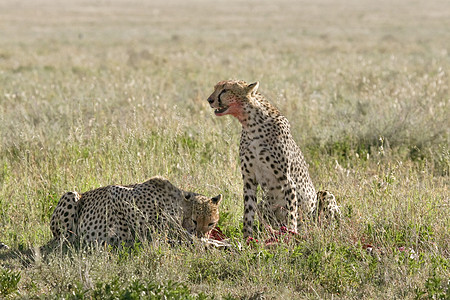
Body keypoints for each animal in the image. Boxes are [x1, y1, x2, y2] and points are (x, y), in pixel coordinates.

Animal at [50, 176, 222, 246]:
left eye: (211, 223)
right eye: (195, 220)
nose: (201, 234)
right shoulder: (116, 192)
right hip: (71, 196)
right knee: (64, 239)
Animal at [206, 79, 340, 237]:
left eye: (225, 90)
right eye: (215, 88)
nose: (209, 100)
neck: (250, 123)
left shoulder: (287, 181)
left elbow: (292, 213)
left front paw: (291, 236)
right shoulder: (249, 180)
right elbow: (248, 214)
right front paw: (247, 239)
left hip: (324, 197)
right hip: (264, 204)